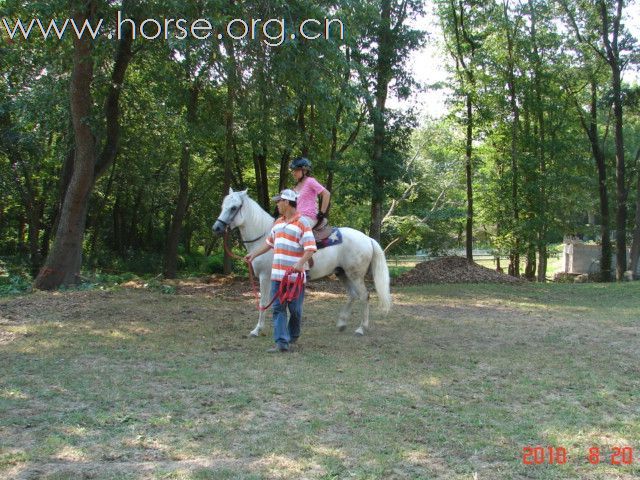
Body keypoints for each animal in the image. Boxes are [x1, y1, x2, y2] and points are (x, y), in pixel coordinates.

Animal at [212, 189, 390, 336]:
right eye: (223, 205)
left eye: (234, 207)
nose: (216, 228)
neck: (267, 237)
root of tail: (367, 238)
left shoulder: (266, 276)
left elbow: (264, 301)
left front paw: (257, 329)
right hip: (342, 273)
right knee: (353, 295)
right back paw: (341, 323)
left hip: (355, 275)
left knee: (364, 296)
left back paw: (361, 328)